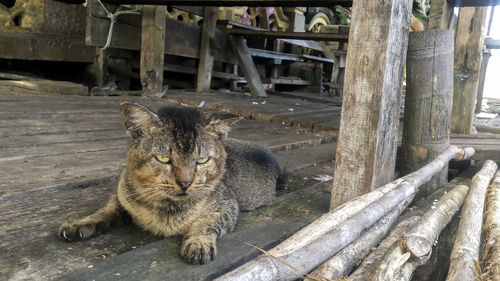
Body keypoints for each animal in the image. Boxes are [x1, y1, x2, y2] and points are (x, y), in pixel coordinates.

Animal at [58, 101, 288, 264]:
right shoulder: (122, 194)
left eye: (201, 160)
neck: (164, 208)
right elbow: (106, 210)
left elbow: (207, 222)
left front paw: (198, 242)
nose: (185, 183)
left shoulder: (228, 204)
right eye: (163, 158)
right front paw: (82, 223)